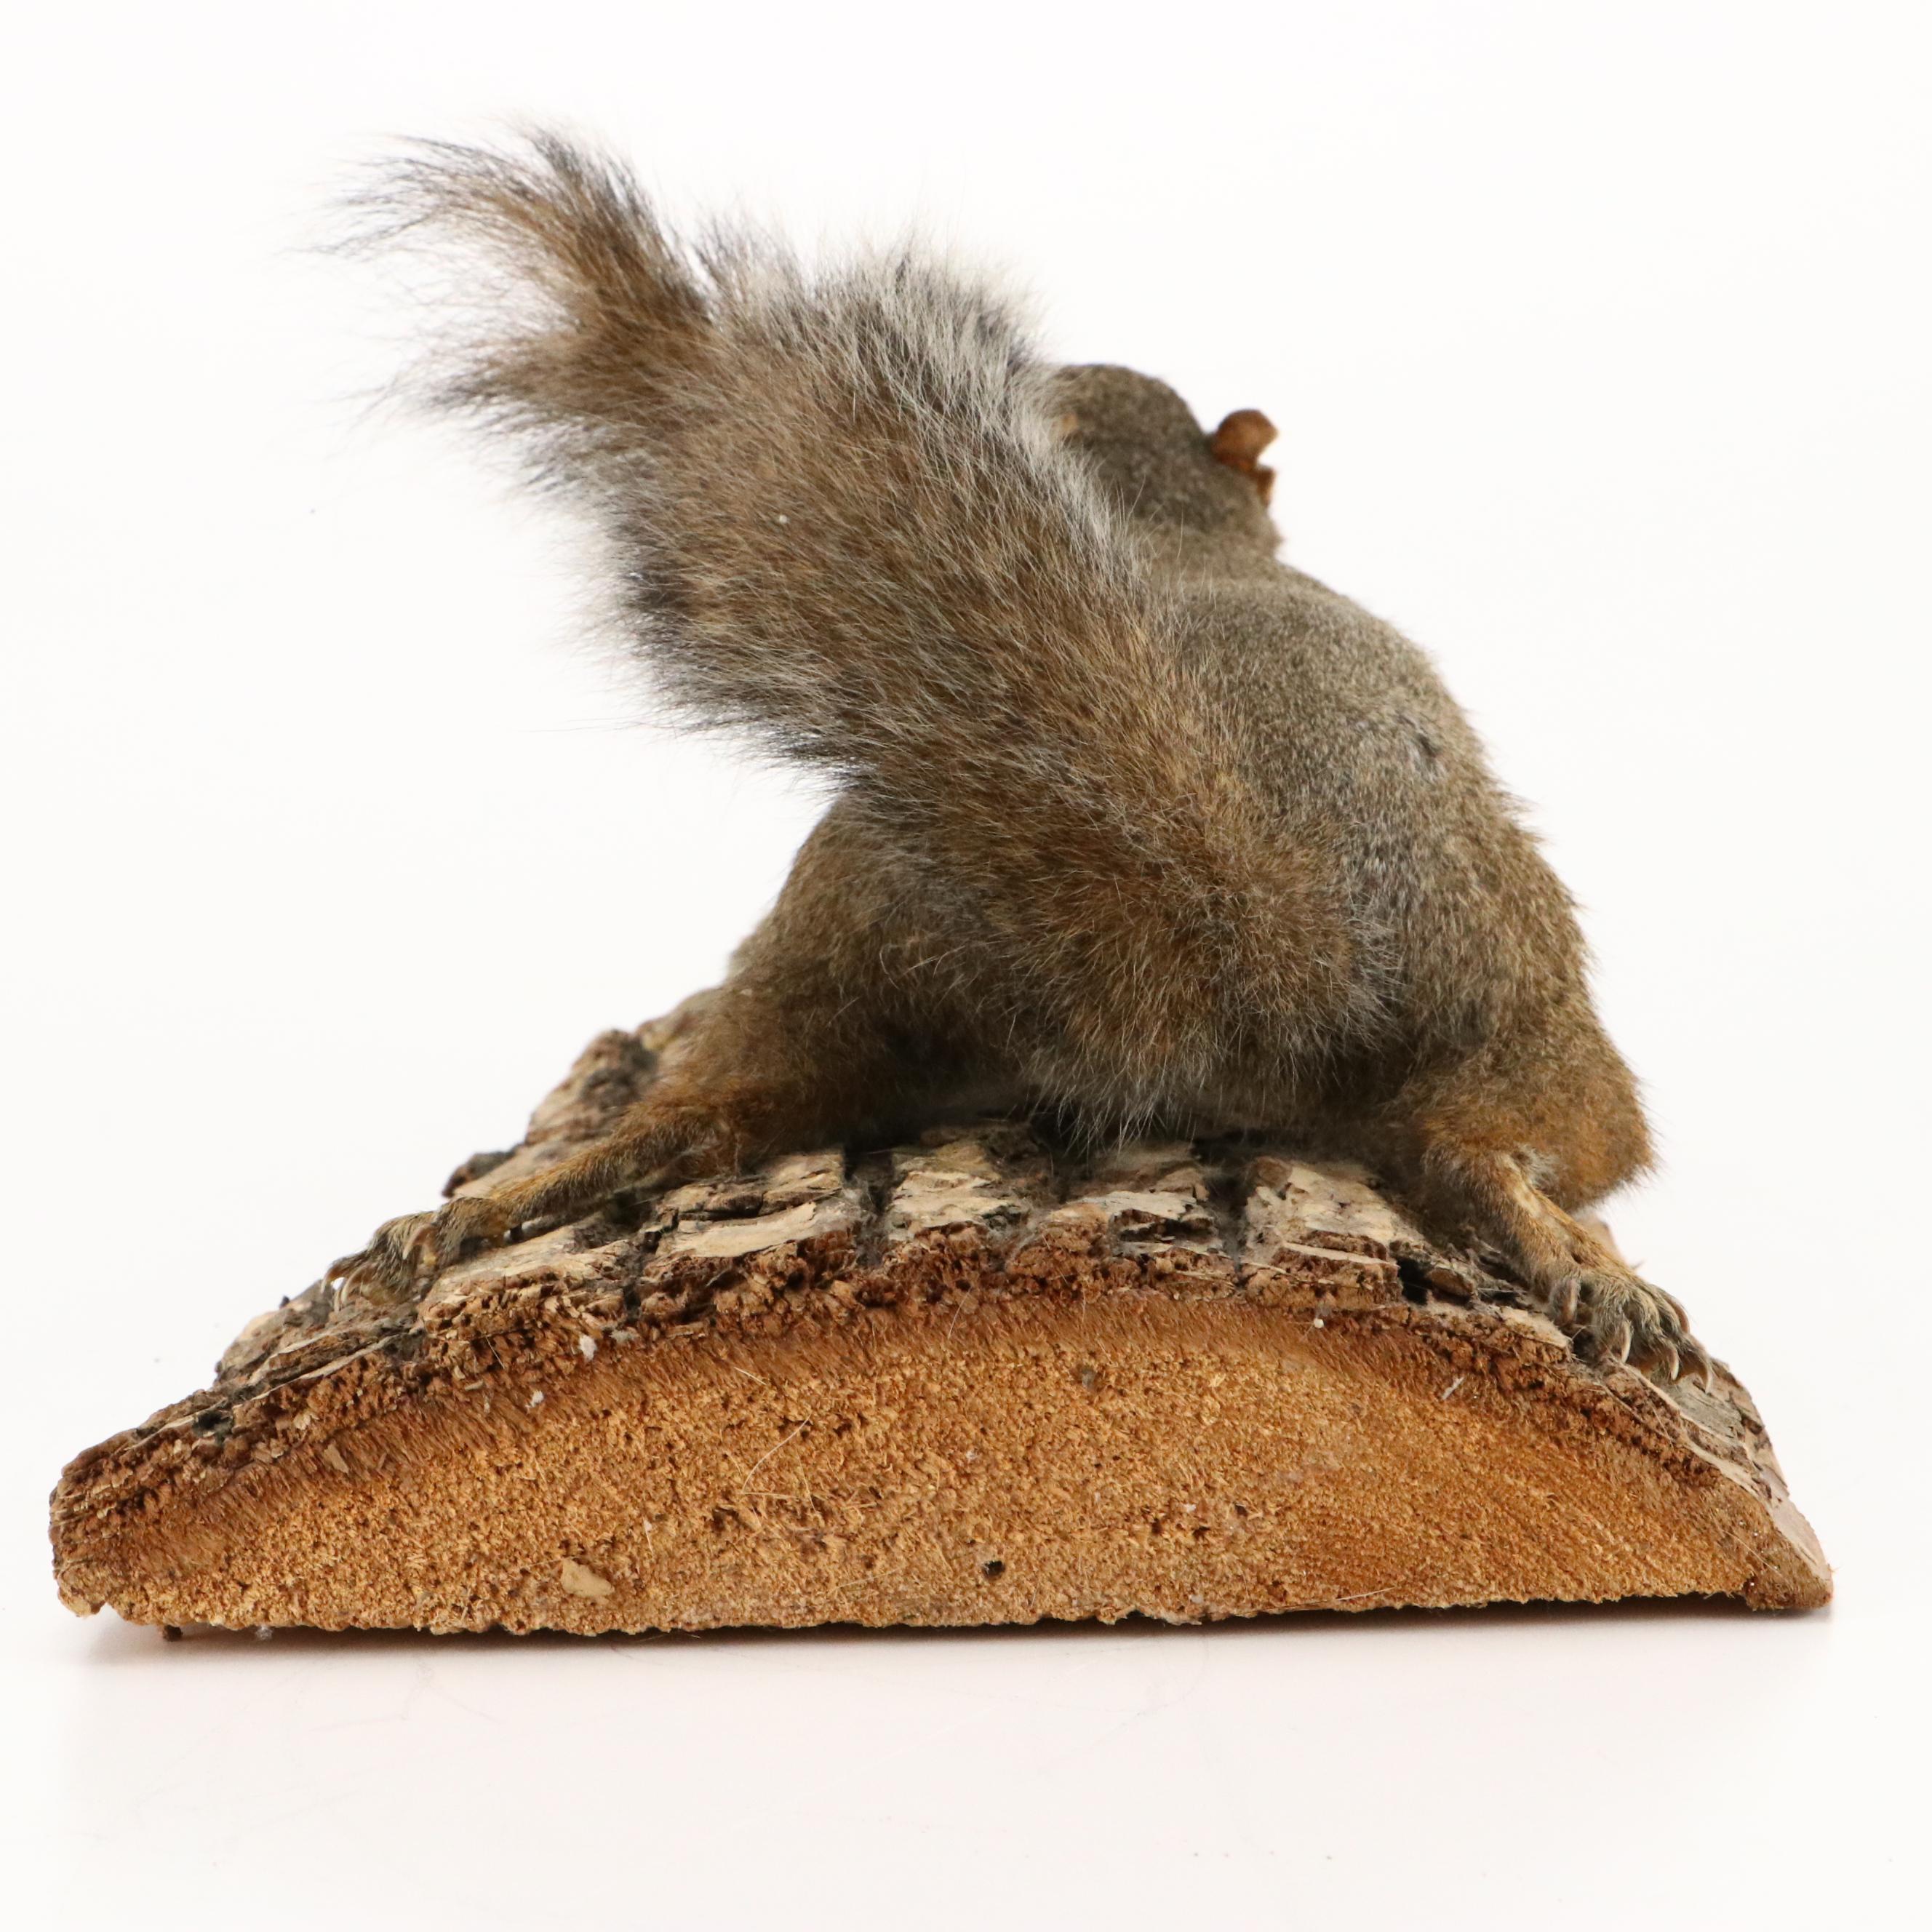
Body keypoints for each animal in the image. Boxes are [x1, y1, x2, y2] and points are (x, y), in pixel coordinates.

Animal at [329, 132, 1707, 1384]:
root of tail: (1266, 939)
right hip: (1531, 993)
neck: (1166, 535)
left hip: (832, 956)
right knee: (1492, 1140)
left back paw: (508, 1200)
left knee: (713, 1108)